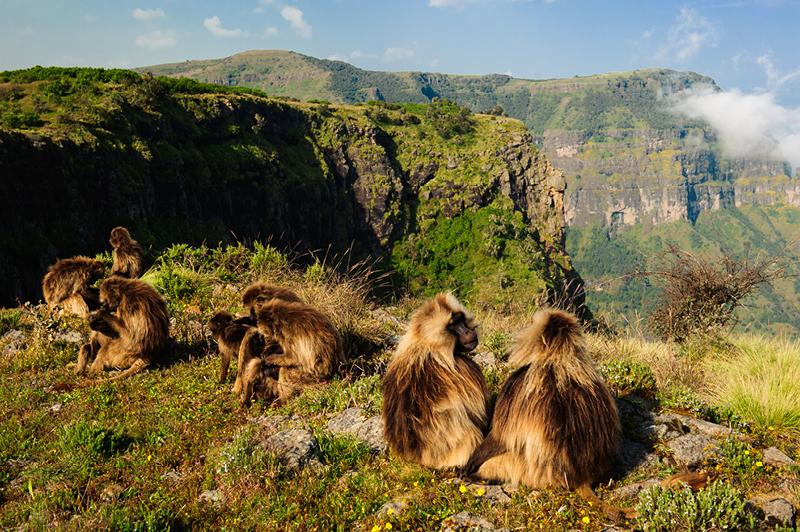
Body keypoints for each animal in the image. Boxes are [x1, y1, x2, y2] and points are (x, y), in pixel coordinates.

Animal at [464, 309, 629, 519]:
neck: (559, 361)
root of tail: (581, 477)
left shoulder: (519, 380)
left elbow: (500, 436)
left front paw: (468, 468)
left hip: (522, 469)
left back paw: (482, 478)